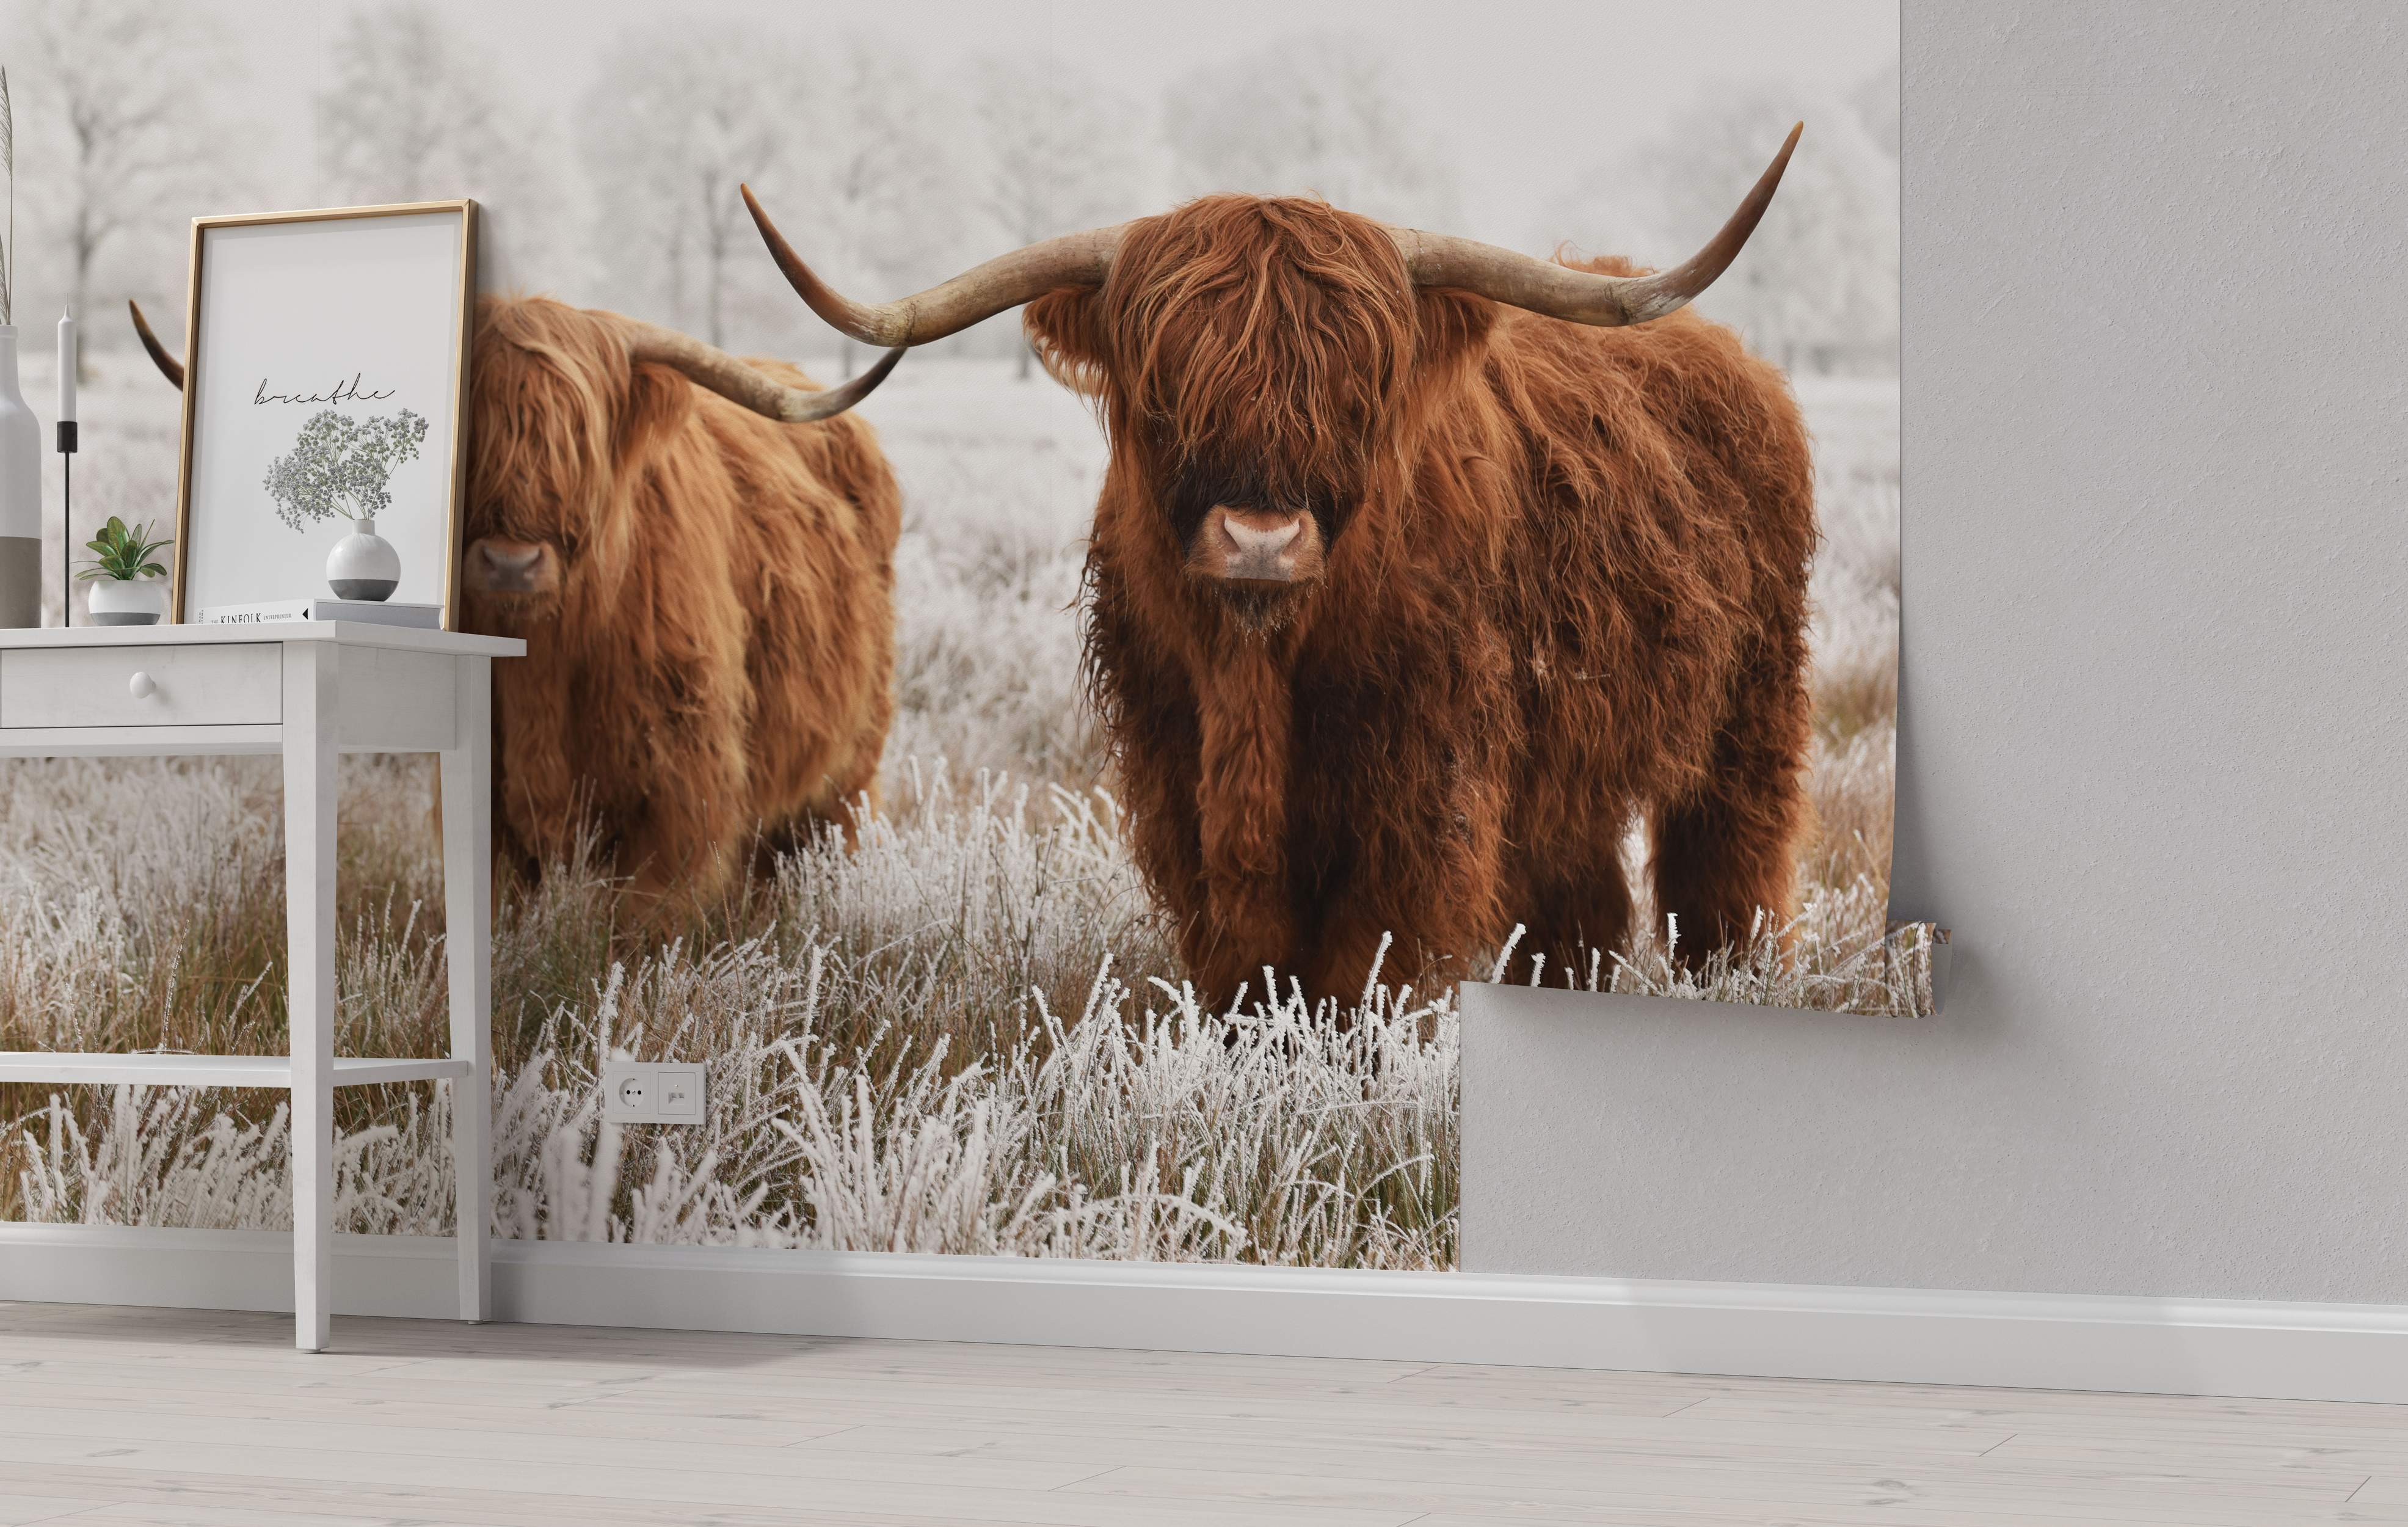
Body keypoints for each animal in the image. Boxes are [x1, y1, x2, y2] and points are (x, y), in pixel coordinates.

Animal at [132, 296, 907, 911]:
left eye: (577, 437)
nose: (511, 561)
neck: (548, 664)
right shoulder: (491, 811)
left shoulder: (679, 802)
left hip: (844, 775)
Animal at [737, 123, 1815, 1007]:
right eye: (1165, 386)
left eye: (1358, 389)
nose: (1259, 540)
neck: (1256, 673)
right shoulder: (1177, 774)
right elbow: (1244, 964)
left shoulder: (1421, 789)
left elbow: (1361, 965)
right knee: (1579, 902)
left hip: (1750, 707)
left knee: (1729, 863)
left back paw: (1731, 979)